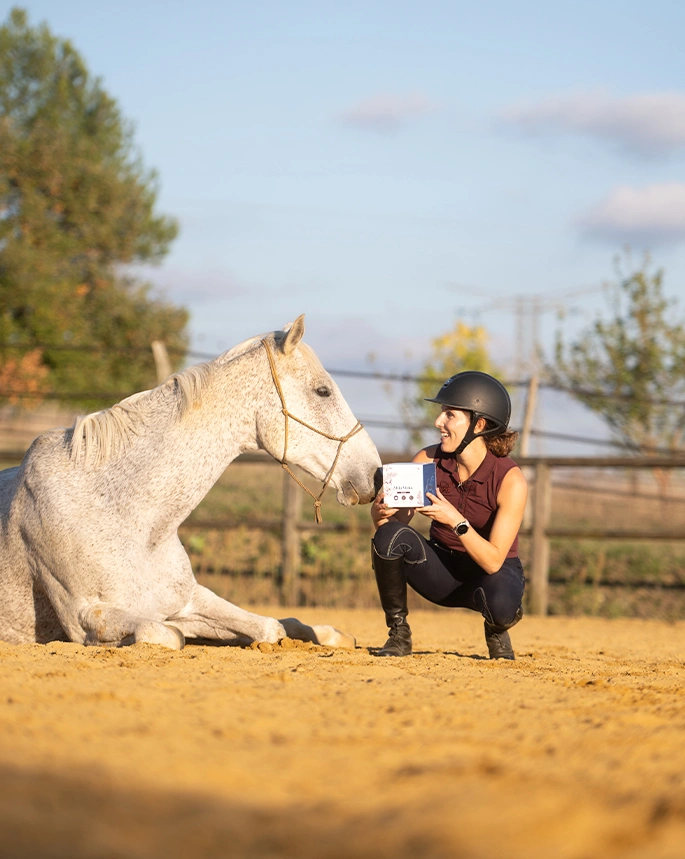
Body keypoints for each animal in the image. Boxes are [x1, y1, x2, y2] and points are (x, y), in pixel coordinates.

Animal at [0, 315, 381, 650]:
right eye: (323, 391)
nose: (376, 474)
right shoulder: (85, 617)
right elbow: (167, 633)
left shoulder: (188, 600)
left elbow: (273, 626)